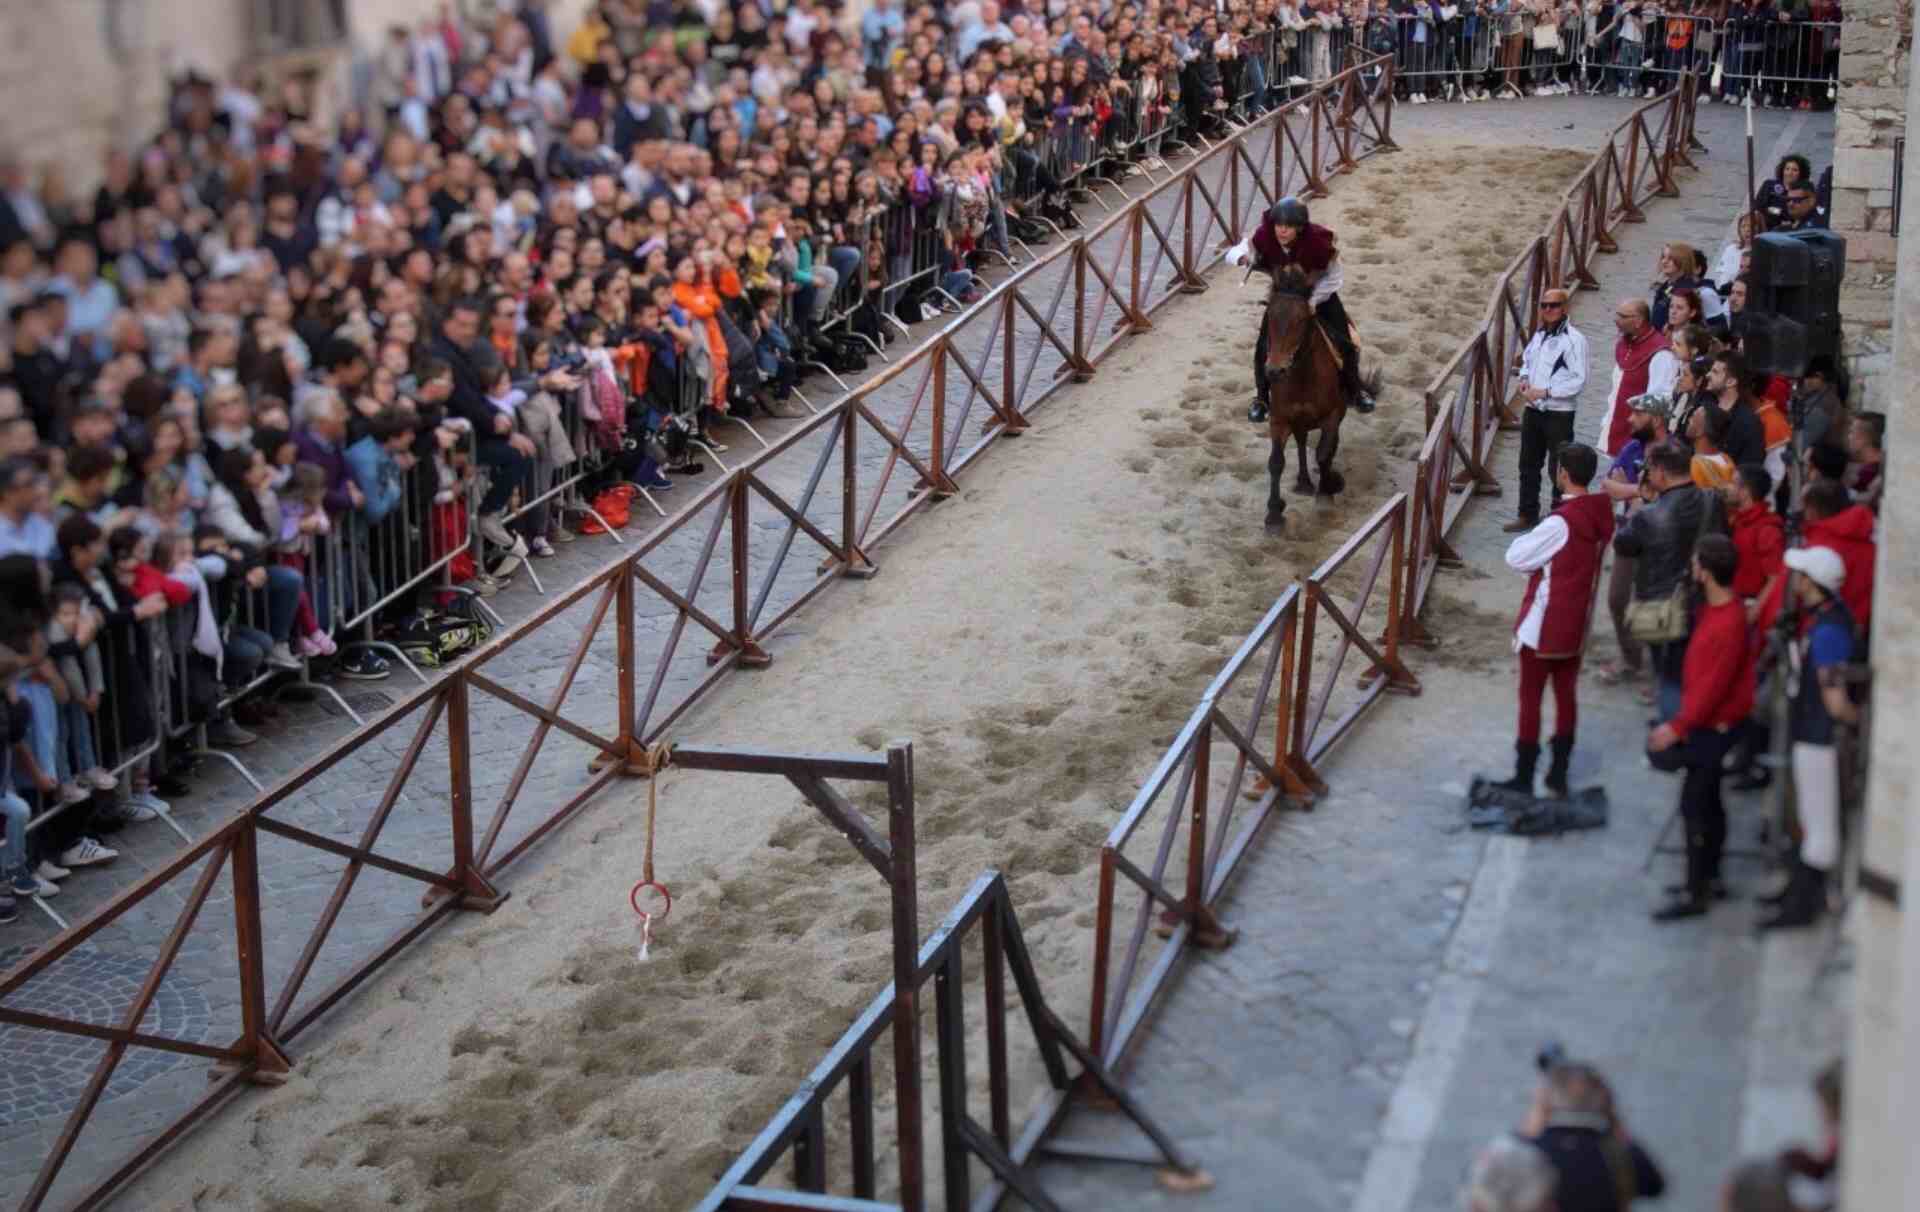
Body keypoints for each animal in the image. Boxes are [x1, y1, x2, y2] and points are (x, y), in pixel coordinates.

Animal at [1251, 270, 1374, 530]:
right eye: (1270, 319)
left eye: (1301, 321)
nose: (1274, 371)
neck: (1302, 375)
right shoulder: (1279, 419)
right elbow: (1276, 462)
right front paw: (1274, 514)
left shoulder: (1331, 416)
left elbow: (1324, 452)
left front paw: (1326, 494)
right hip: (1299, 420)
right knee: (1301, 441)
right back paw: (1304, 481)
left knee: (1328, 445)